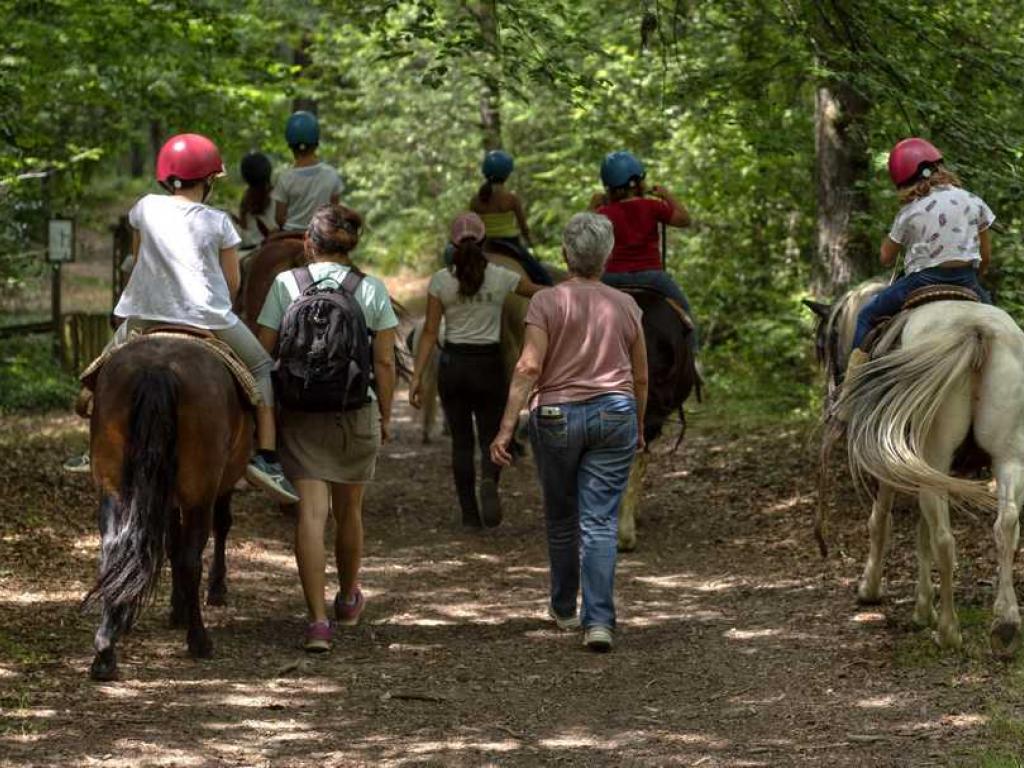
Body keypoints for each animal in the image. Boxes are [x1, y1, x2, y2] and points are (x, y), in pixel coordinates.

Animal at [82, 335, 250, 679]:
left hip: (112, 485)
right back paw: (199, 639)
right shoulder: (217, 485)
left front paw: (176, 606)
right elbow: (217, 527)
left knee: (112, 549)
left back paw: (105, 648)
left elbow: (170, 542)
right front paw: (213, 591)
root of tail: (157, 369)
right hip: (199, 492)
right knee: (191, 558)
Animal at [823, 296, 1024, 659]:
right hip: (1008, 456)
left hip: (934, 457)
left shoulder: (890, 463)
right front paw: (921, 608)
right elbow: (920, 534)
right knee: (1006, 525)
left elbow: (882, 523)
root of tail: (975, 329)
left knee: (944, 539)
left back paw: (948, 631)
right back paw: (1006, 627)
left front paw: (870, 589)